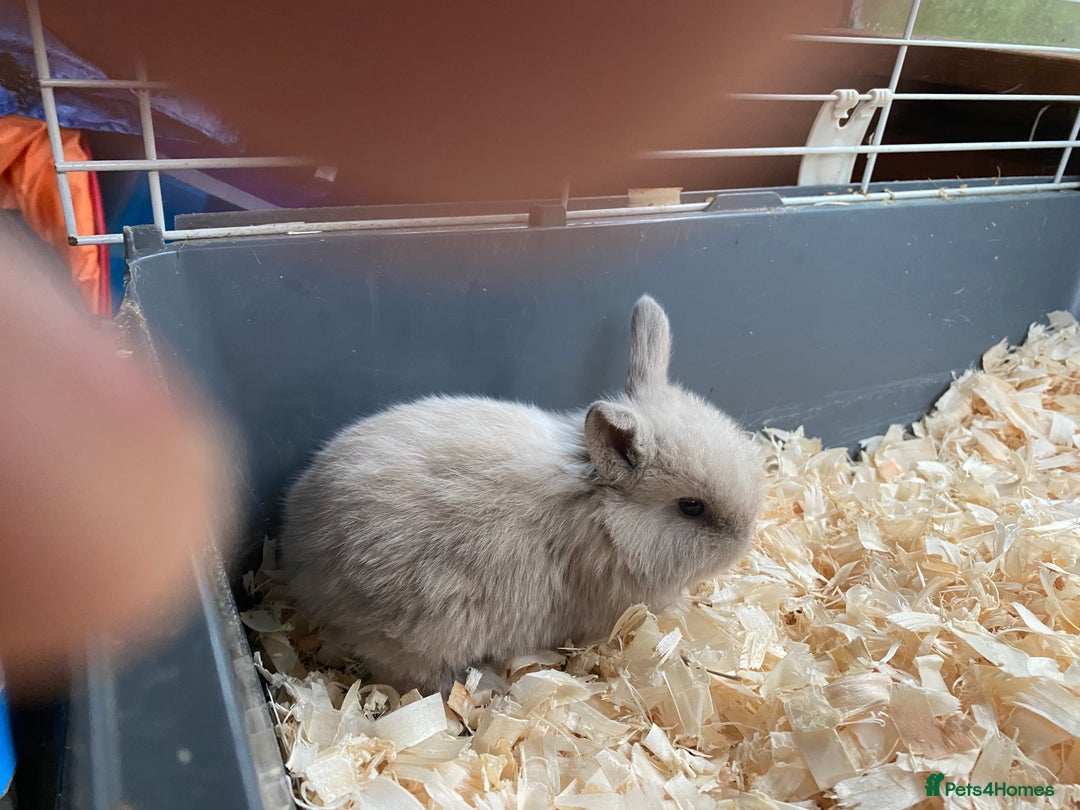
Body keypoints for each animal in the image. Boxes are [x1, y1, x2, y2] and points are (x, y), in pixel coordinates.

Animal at [278, 295, 764, 695]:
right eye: (691, 507)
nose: (744, 541)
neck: (602, 514)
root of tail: (299, 559)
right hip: (422, 636)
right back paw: (489, 687)